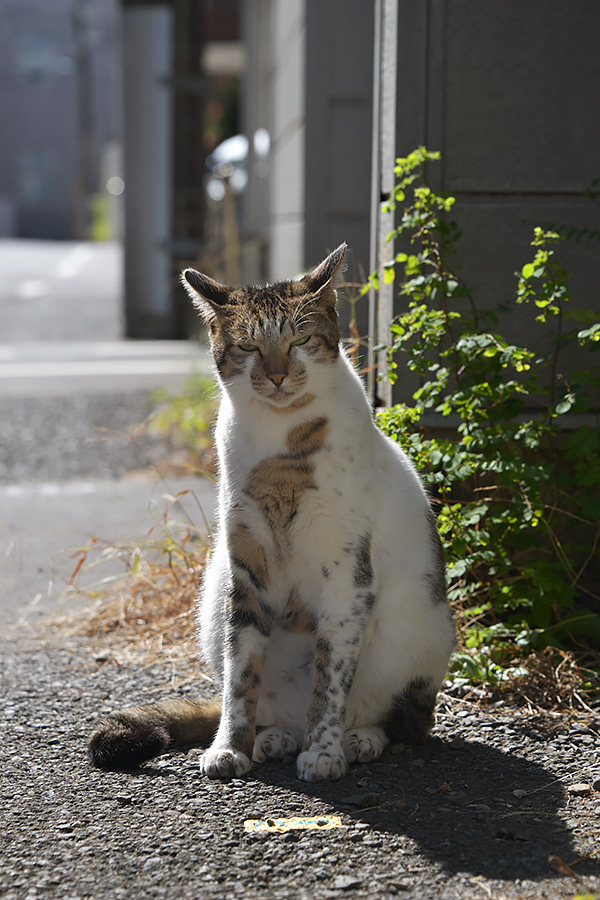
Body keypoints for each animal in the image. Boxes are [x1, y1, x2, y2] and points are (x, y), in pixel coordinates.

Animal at [88, 244, 454, 780]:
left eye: (300, 340)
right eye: (249, 348)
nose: (278, 374)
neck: (282, 445)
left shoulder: (347, 576)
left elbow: (330, 680)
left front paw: (324, 753)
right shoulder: (246, 565)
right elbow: (241, 678)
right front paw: (229, 747)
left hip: (421, 633)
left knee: (404, 721)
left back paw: (359, 739)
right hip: (212, 607)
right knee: (262, 698)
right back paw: (273, 737)